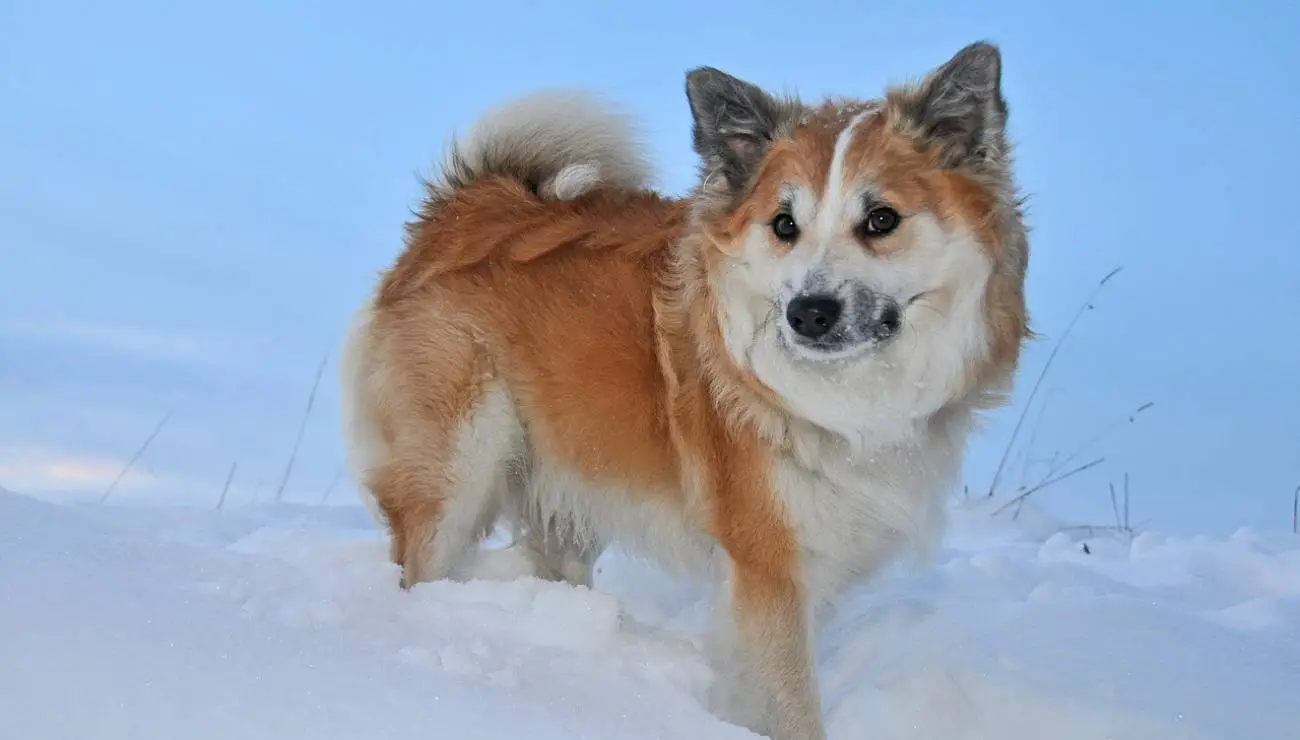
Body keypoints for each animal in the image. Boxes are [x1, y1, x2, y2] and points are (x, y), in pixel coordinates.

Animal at [340, 41, 1029, 738]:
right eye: (784, 225)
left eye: (881, 219)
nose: (808, 313)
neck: (849, 397)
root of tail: (469, 206)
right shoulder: (766, 563)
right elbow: (791, 701)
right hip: (456, 471)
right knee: (422, 562)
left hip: (572, 483)